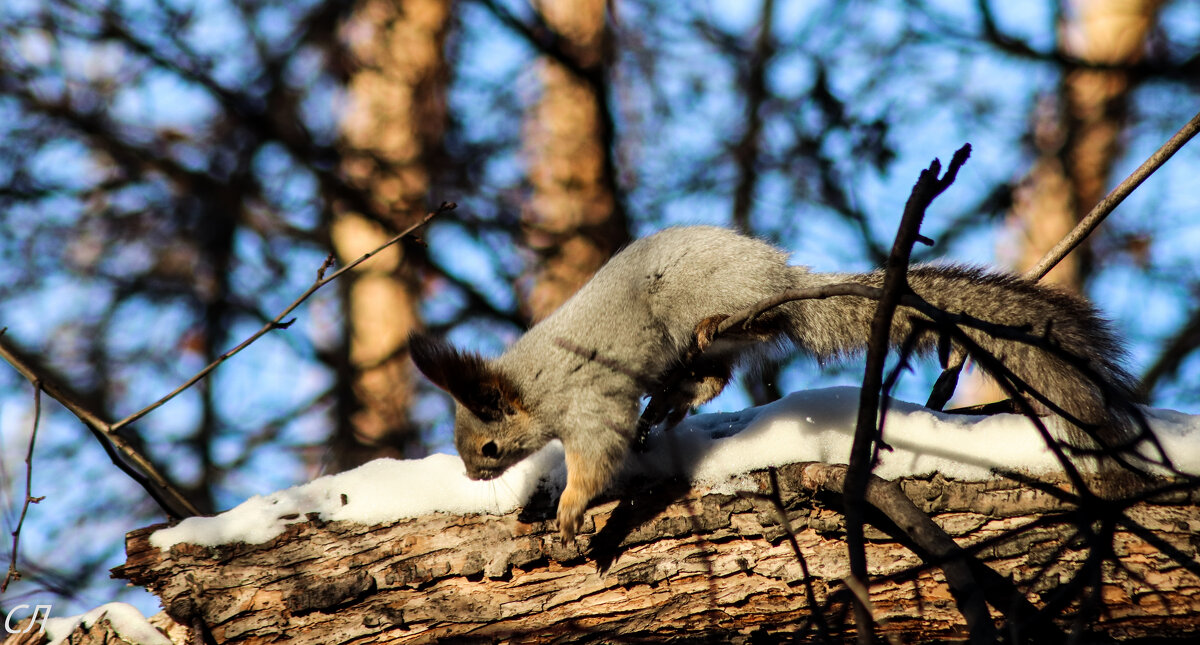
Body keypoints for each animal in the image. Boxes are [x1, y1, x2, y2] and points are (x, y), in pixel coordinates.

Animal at [408, 222, 1137, 539]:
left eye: (488, 446)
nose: (472, 474)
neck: (534, 385)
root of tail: (783, 281)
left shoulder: (588, 399)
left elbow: (598, 452)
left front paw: (568, 510)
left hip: (715, 306)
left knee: (738, 345)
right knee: (714, 377)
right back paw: (665, 404)